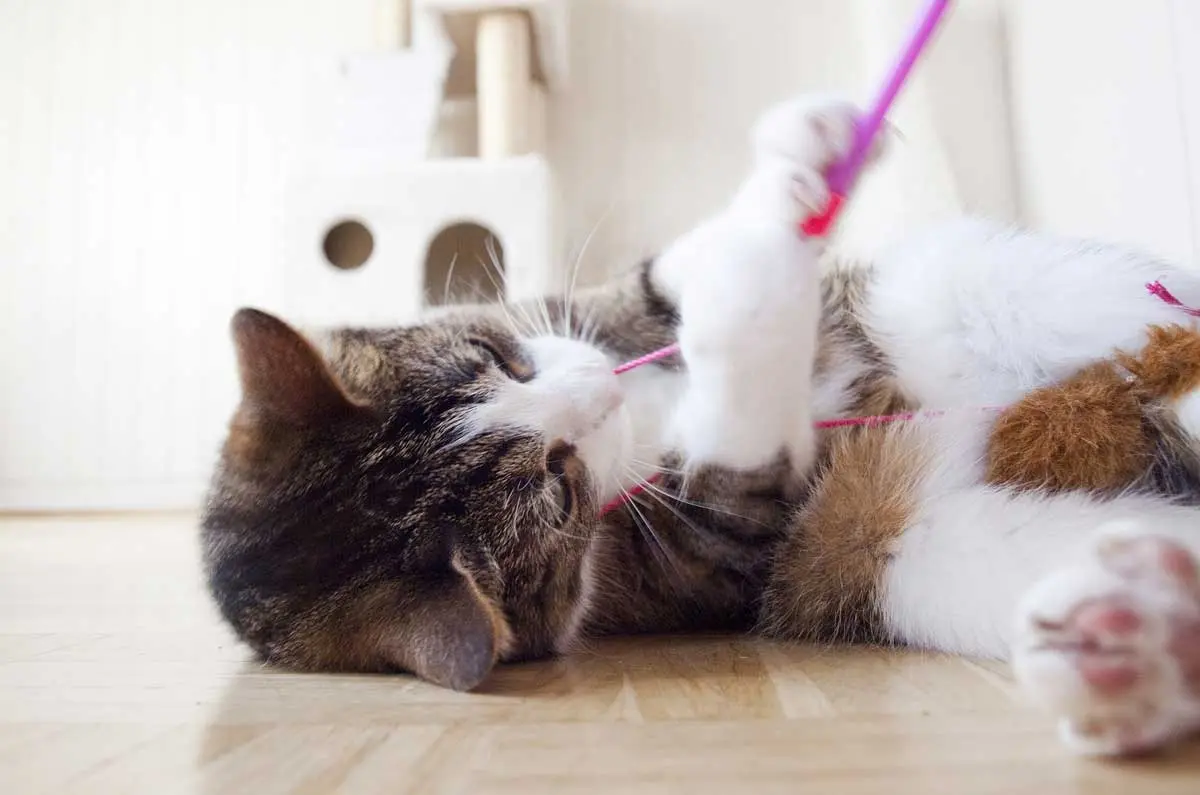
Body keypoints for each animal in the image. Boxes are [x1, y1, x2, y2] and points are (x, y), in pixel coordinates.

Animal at [201, 94, 1200, 758]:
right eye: (557, 483)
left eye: (498, 352)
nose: (597, 385)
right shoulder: (721, 544)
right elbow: (732, 455)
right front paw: (743, 305)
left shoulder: (603, 310)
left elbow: (666, 277)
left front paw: (804, 161)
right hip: (893, 557)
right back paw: (1143, 636)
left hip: (963, 284)